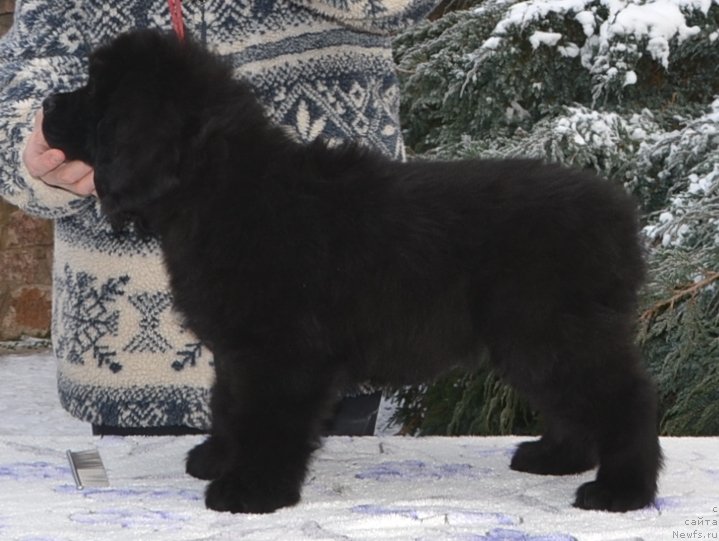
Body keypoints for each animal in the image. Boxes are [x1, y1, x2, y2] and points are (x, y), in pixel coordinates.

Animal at [42, 30, 664, 516]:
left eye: (95, 94)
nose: (45, 105)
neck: (219, 187)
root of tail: (619, 212)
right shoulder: (240, 348)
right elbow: (228, 403)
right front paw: (219, 457)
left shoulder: (282, 352)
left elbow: (266, 420)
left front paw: (251, 489)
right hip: (539, 340)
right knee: (574, 402)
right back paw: (556, 457)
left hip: (549, 331)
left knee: (626, 399)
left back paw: (622, 490)